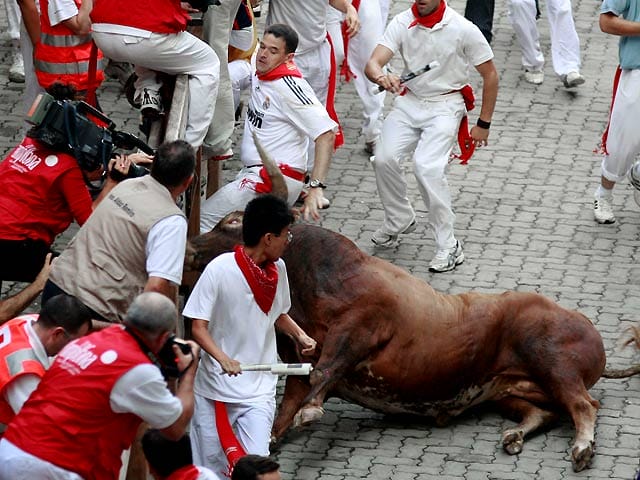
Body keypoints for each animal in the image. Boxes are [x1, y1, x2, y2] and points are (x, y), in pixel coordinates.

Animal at [188, 217, 608, 472]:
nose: (191, 247)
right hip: (508, 388)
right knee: (545, 412)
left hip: (552, 361)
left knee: (583, 404)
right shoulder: (297, 361)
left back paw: (581, 448)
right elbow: (290, 400)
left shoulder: (361, 327)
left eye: (231, 222)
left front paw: (311, 412)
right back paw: (515, 436)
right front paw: (274, 436)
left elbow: (325, 370)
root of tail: (583, 321)